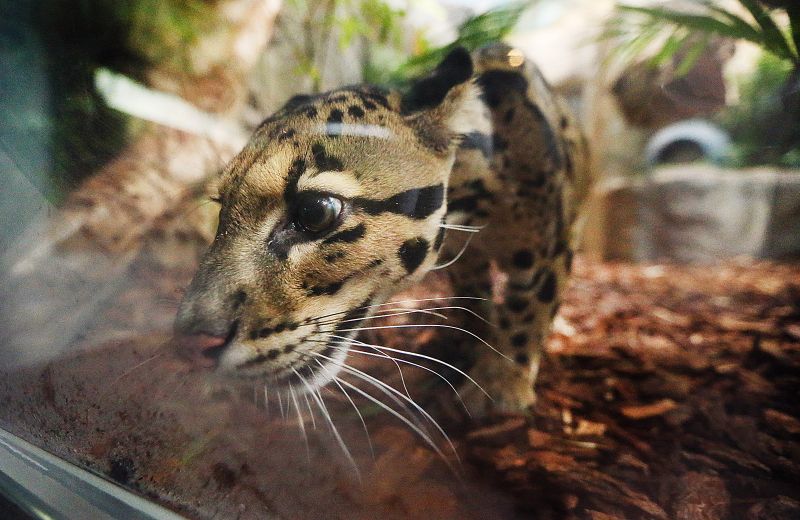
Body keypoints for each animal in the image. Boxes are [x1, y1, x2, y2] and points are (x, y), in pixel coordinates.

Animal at [174, 43, 589, 417]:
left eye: (315, 212)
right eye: (221, 206)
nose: (189, 342)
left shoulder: (551, 249)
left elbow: (529, 308)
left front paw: (500, 384)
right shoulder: (462, 257)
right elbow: (475, 296)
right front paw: (472, 344)